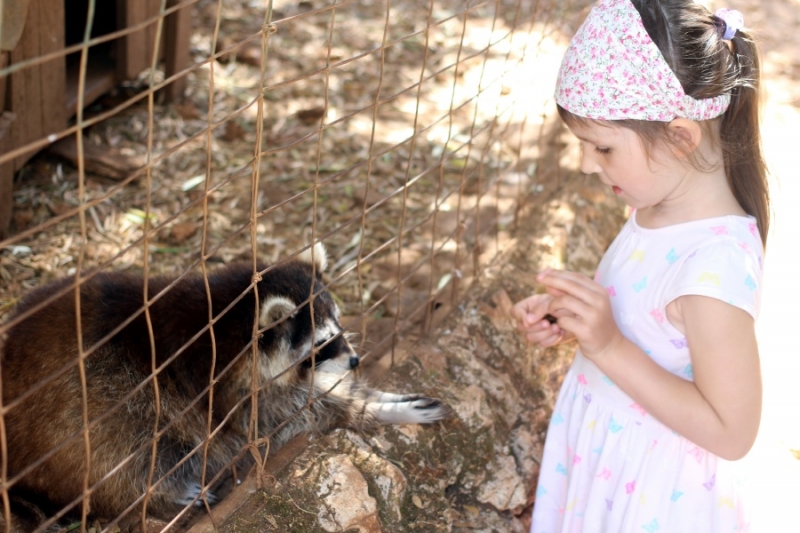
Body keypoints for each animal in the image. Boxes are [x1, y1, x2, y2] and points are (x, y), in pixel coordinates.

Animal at [1, 244, 450, 520]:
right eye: (321, 344)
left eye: (338, 326)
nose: (355, 359)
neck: (224, 318)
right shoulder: (220, 394)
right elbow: (294, 413)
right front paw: (371, 408)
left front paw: (375, 395)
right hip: (93, 414)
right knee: (125, 453)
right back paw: (161, 495)